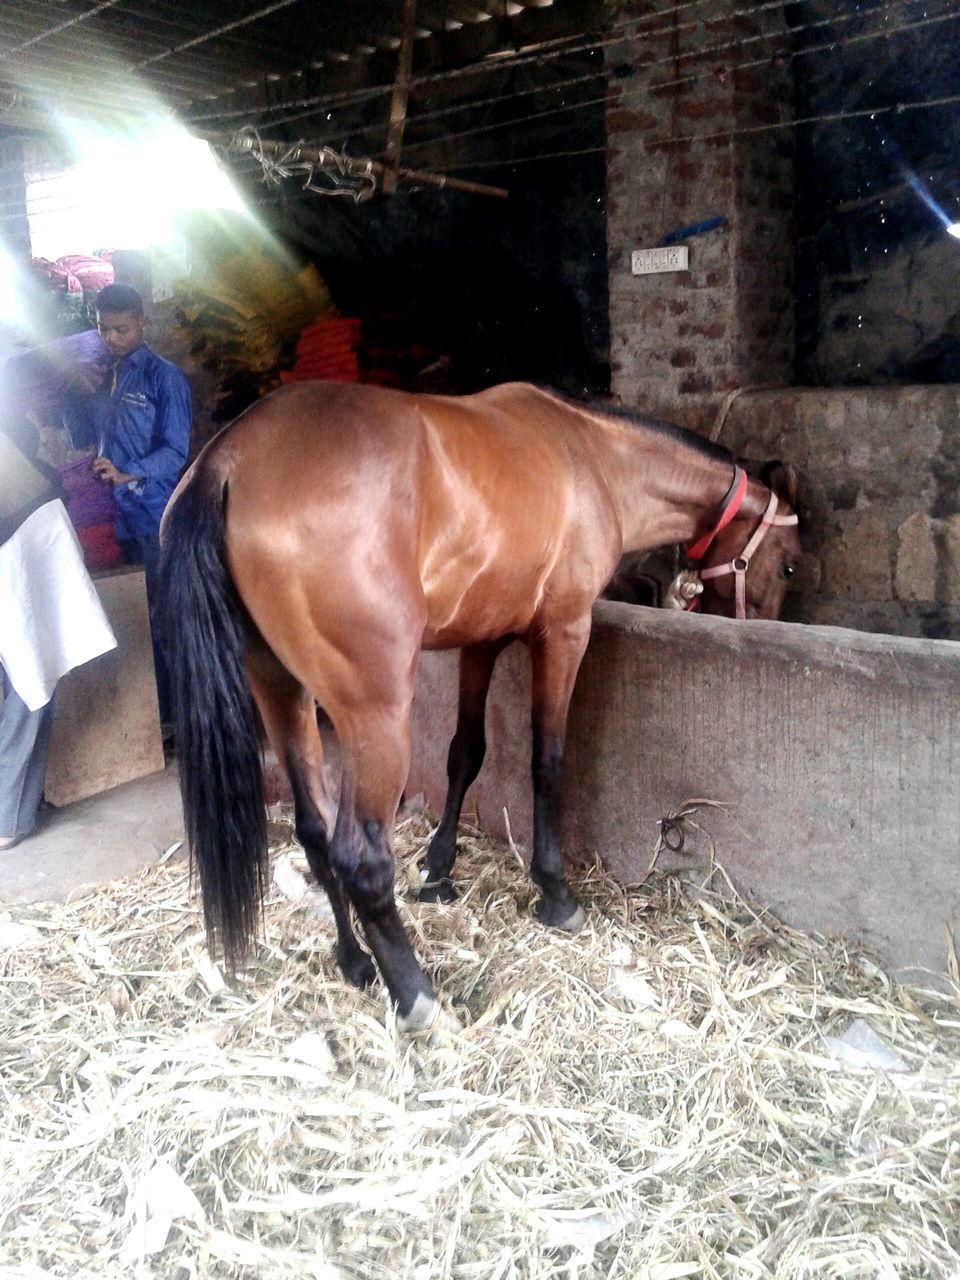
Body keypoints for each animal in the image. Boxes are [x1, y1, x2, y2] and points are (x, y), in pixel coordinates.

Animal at [160, 378, 803, 1029]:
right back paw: (416, 995)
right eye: (789, 563)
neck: (594, 455)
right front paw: (556, 894)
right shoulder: (565, 633)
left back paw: (355, 961)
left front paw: (438, 870)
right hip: (374, 716)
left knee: (314, 833)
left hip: (280, 690)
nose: (760, 625)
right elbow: (547, 762)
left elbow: (465, 754)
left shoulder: (482, 641)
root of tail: (229, 459)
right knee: (360, 857)